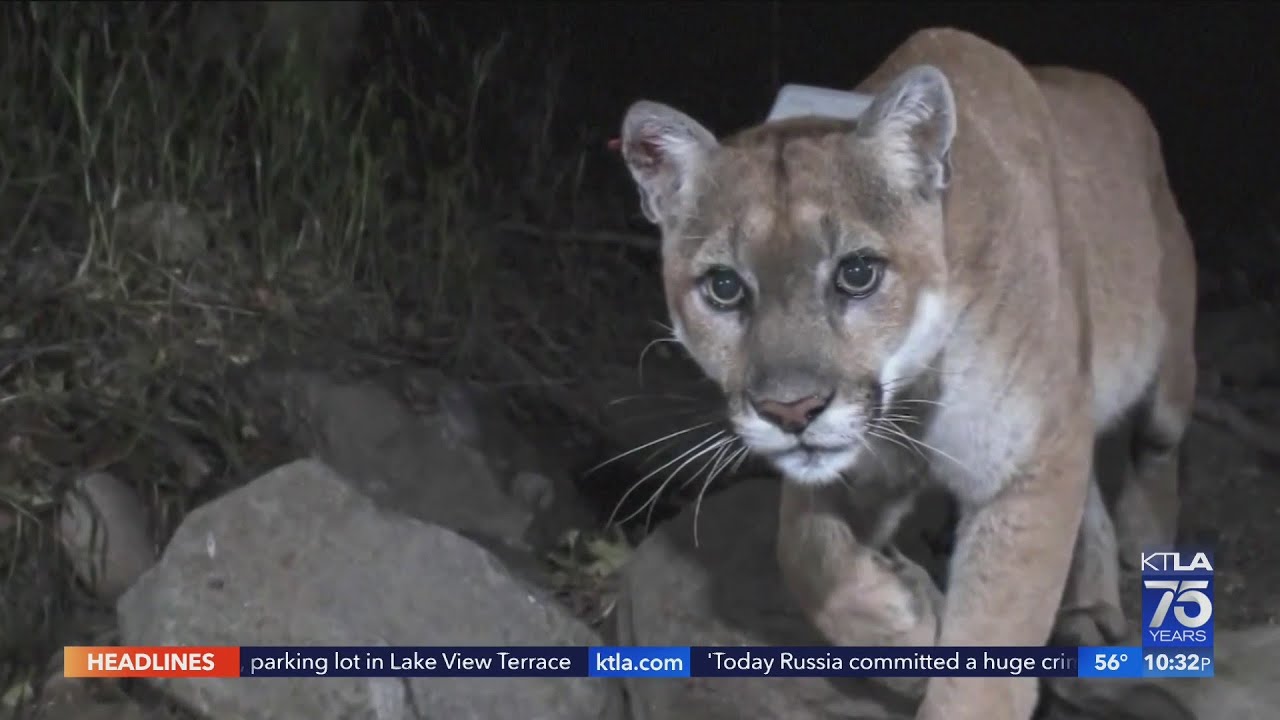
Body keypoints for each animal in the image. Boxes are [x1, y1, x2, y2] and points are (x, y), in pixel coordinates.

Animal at [616, 27, 1196, 720]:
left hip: (1164, 372)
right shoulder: (858, 469)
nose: (790, 411)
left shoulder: (1027, 465)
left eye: (857, 273)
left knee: (1155, 449)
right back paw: (1086, 607)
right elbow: (803, 551)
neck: (914, 394)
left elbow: (988, 653)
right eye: (724, 287)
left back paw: (1150, 551)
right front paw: (907, 618)